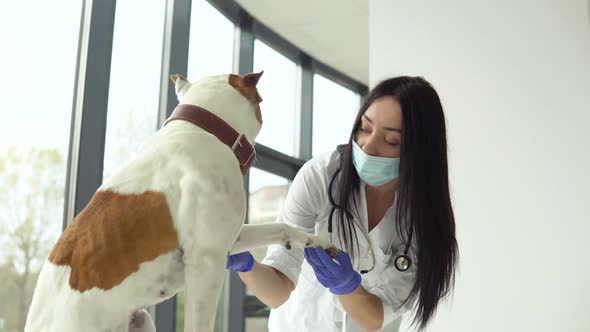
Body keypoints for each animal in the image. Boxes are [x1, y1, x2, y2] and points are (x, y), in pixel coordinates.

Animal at [24, 73, 332, 332]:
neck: (204, 130)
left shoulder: (230, 240)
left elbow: (281, 227)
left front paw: (314, 241)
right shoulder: (206, 261)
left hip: (142, 320)